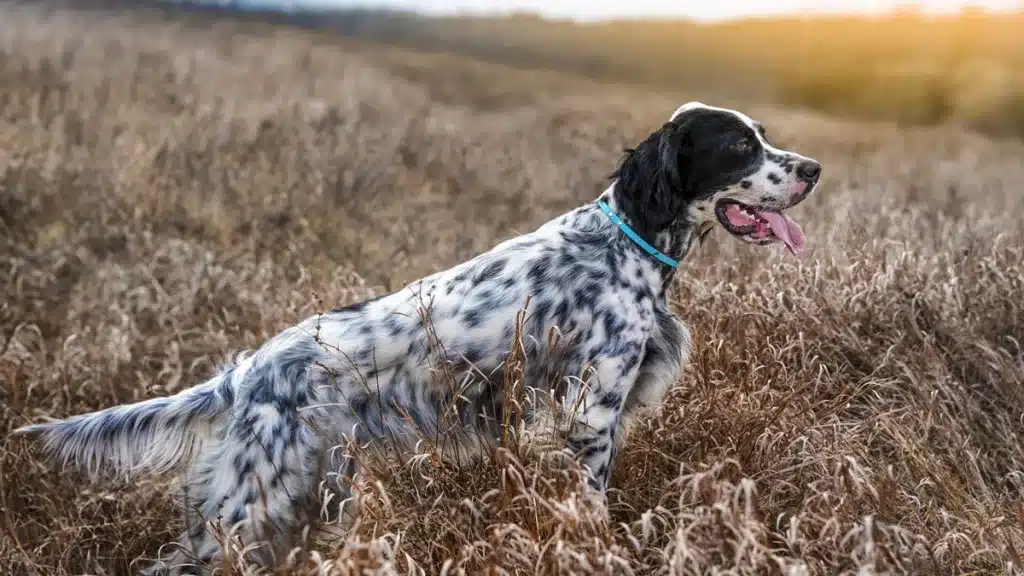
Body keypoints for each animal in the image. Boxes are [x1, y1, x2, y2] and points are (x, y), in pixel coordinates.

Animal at [12, 100, 819, 569]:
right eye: (739, 148)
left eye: (767, 139)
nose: (812, 168)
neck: (626, 242)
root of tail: (248, 371)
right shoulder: (591, 415)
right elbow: (591, 506)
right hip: (256, 496)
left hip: (308, 490)